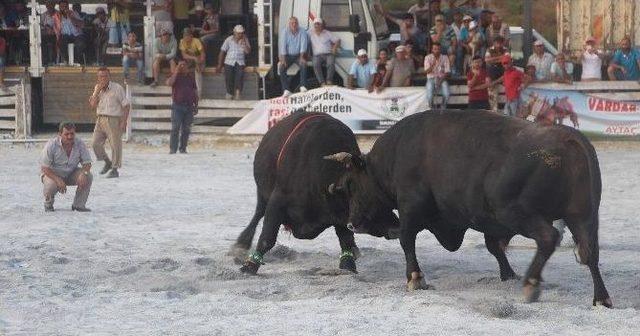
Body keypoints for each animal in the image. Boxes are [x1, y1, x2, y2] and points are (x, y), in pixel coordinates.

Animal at [230, 111, 400, 274]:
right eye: (366, 197)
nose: (396, 228)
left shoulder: (340, 215)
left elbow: (346, 239)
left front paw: (348, 264)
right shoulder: (277, 201)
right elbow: (267, 237)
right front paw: (250, 266)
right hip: (263, 193)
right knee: (258, 213)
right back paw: (241, 245)